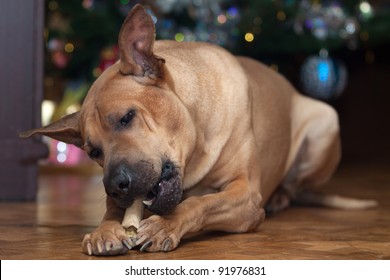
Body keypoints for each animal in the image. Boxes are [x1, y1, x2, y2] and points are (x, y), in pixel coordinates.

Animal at [19, 4, 378, 255]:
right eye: (93, 151)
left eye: (126, 117)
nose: (115, 186)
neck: (197, 135)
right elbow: (111, 212)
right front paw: (105, 230)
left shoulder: (245, 195)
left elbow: (199, 204)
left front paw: (166, 225)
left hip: (325, 120)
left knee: (294, 185)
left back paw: (280, 197)